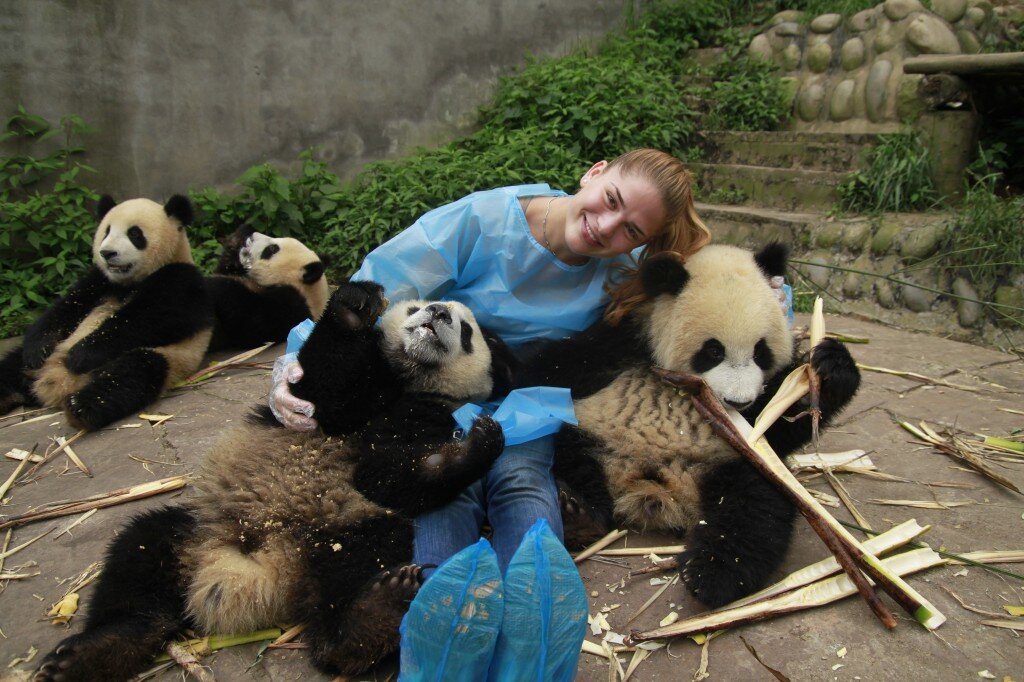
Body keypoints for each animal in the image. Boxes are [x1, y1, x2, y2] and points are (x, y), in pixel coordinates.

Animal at [0, 196, 212, 428]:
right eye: (107, 231)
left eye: (135, 234)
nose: (107, 253)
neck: (129, 282)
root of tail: (56, 384)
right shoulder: (98, 281)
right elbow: (65, 308)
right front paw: (38, 349)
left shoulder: (181, 281)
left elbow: (148, 319)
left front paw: (79, 355)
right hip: (26, 365)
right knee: (10, 366)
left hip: (166, 358)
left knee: (132, 373)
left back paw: (79, 407)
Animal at [36, 282, 516, 679]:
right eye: (416, 307)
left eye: (467, 331)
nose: (436, 312)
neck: (406, 377)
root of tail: (269, 561)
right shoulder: (345, 391)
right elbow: (325, 388)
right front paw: (356, 305)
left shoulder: (426, 412)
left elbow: (384, 477)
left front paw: (478, 443)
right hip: (201, 529)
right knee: (140, 557)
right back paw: (89, 654)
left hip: (352, 531)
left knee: (356, 569)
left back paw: (367, 619)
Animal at [520, 242, 864, 606]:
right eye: (713, 351)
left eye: (760, 352)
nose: (738, 402)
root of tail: (652, 488)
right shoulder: (627, 338)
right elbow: (556, 365)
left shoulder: (749, 424)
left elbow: (778, 421)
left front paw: (831, 367)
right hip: (590, 434)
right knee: (570, 458)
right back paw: (576, 511)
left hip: (728, 465)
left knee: (754, 509)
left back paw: (712, 573)